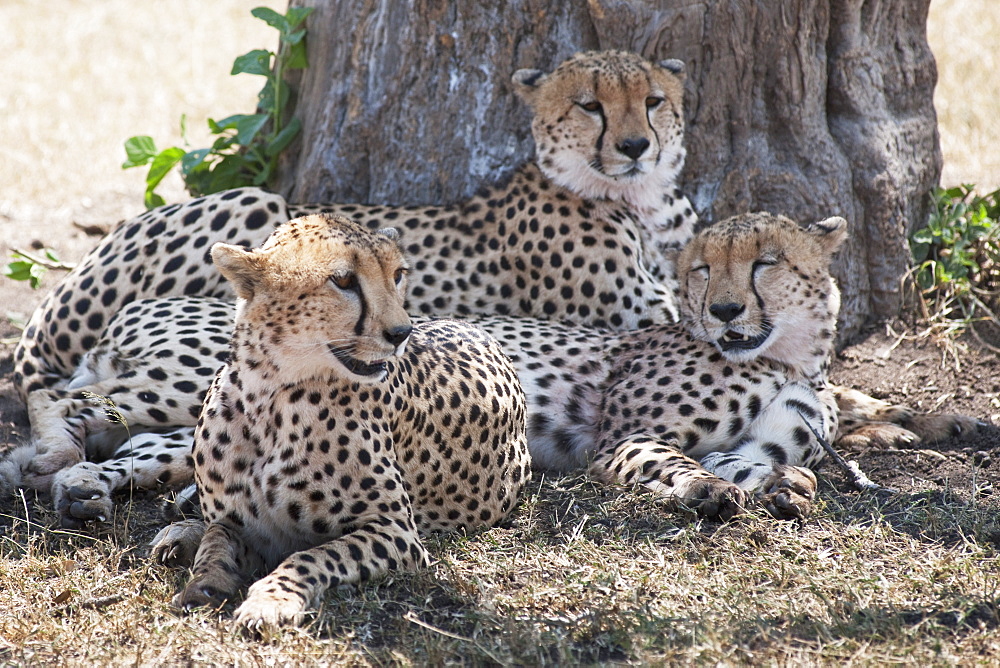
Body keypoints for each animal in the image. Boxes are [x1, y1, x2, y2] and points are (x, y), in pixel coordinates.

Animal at [19, 211, 980, 536]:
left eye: (765, 261)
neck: (789, 360)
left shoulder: (767, 439)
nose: (721, 311)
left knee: (143, 449)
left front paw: (789, 490)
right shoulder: (620, 435)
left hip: (186, 419)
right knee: (71, 397)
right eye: (703, 267)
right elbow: (672, 461)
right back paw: (47, 462)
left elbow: (766, 466)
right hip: (187, 378)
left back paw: (93, 491)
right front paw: (704, 493)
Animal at [155, 215, 528, 632]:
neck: (269, 394)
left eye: (397, 274)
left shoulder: (396, 530)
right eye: (344, 281)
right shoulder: (239, 525)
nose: (401, 333)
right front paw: (203, 581)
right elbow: (215, 540)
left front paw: (270, 600)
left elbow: (312, 556)